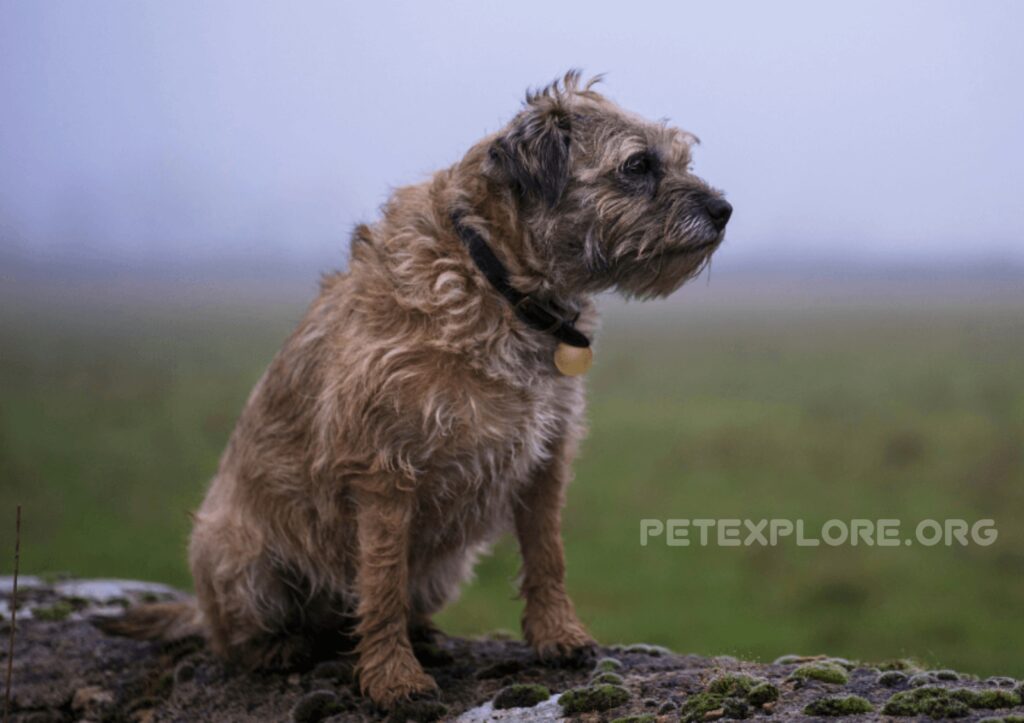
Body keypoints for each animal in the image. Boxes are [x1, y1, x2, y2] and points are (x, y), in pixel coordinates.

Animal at [101, 71, 729, 704]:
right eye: (637, 165)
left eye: (681, 159)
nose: (724, 209)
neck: (496, 281)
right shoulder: (384, 468)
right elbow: (380, 583)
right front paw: (392, 678)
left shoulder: (547, 457)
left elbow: (546, 554)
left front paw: (559, 635)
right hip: (238, 554)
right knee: (233, 635)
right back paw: (279, 648)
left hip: (445, 565)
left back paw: (422, 635)